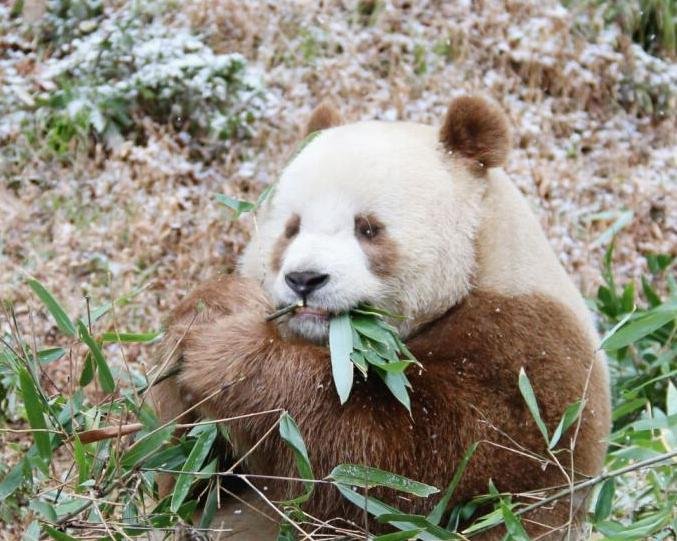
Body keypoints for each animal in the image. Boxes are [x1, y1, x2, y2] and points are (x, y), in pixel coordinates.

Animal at [150, 96, 611, 540]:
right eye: (292, 228)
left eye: (368, 228)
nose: (304, 279)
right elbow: (185, 472)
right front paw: (211, 311)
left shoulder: (524, 357)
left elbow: (398, 468)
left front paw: (230, 357)